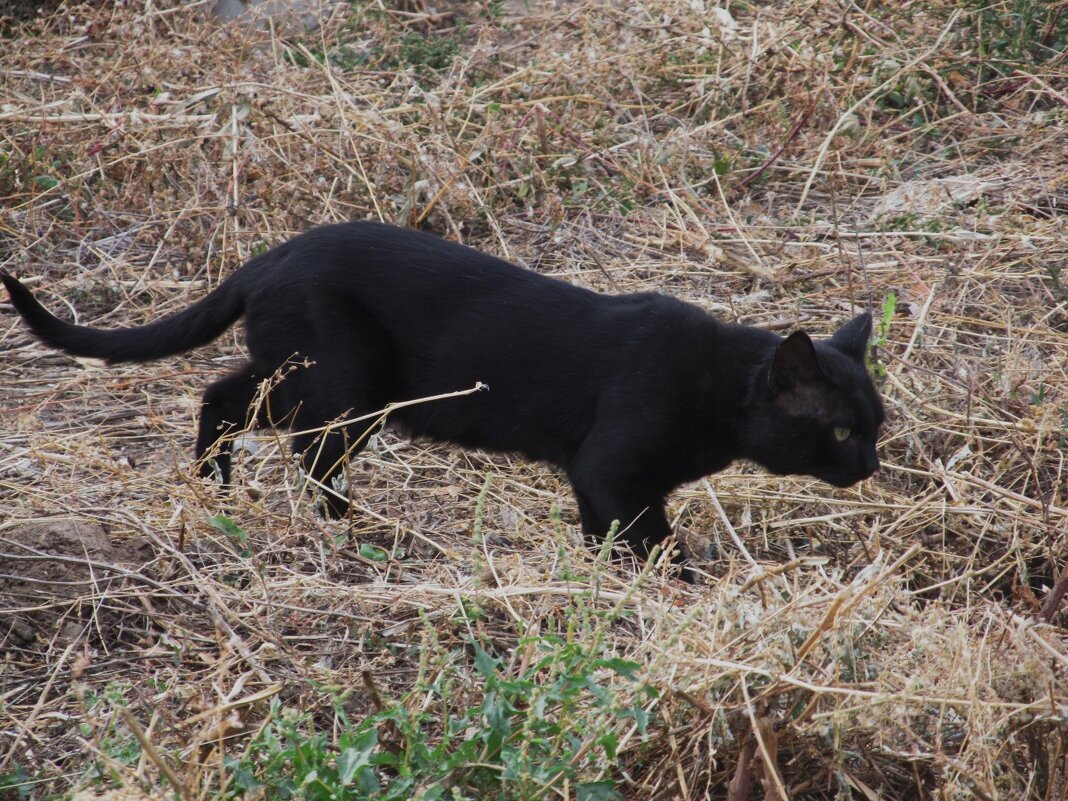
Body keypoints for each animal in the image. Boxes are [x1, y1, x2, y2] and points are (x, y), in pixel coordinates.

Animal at [2, 223, 884, 572]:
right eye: (842, 431)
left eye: (876, 426)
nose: (871, 466)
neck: (720, 393)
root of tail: (273, 254)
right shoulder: (612, 468)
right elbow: (650, 541)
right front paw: (669, 590)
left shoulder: (597, 480)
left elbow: (606, 535)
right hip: (345, 384)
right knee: (300, 446)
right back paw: (346, 528)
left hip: (309, 377)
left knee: (218, 395)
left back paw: (216, 489)